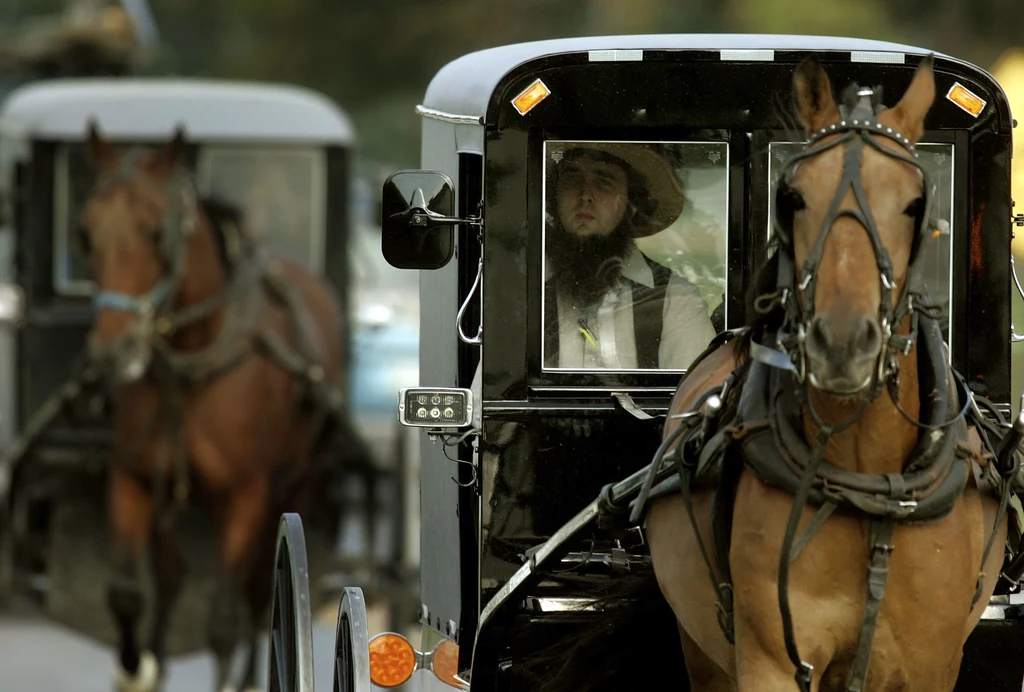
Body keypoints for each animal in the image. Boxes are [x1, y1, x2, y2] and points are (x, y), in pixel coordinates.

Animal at [80, 126, 352, 687]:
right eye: (85, 233)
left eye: (153, 233)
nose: (113, 351)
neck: (194, 360)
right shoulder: (132, 476)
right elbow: (126, 593)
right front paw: (136, 667)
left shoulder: (245, 493)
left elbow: (225, 618)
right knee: (172, 575)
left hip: (296, 480)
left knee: (255, 589)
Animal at [643, 55, 1011, 692]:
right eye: (792, 197)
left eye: (915, 203)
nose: (841, 344)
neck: (868, 485)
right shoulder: (773, 661)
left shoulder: (932, 664)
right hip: (703, 650)